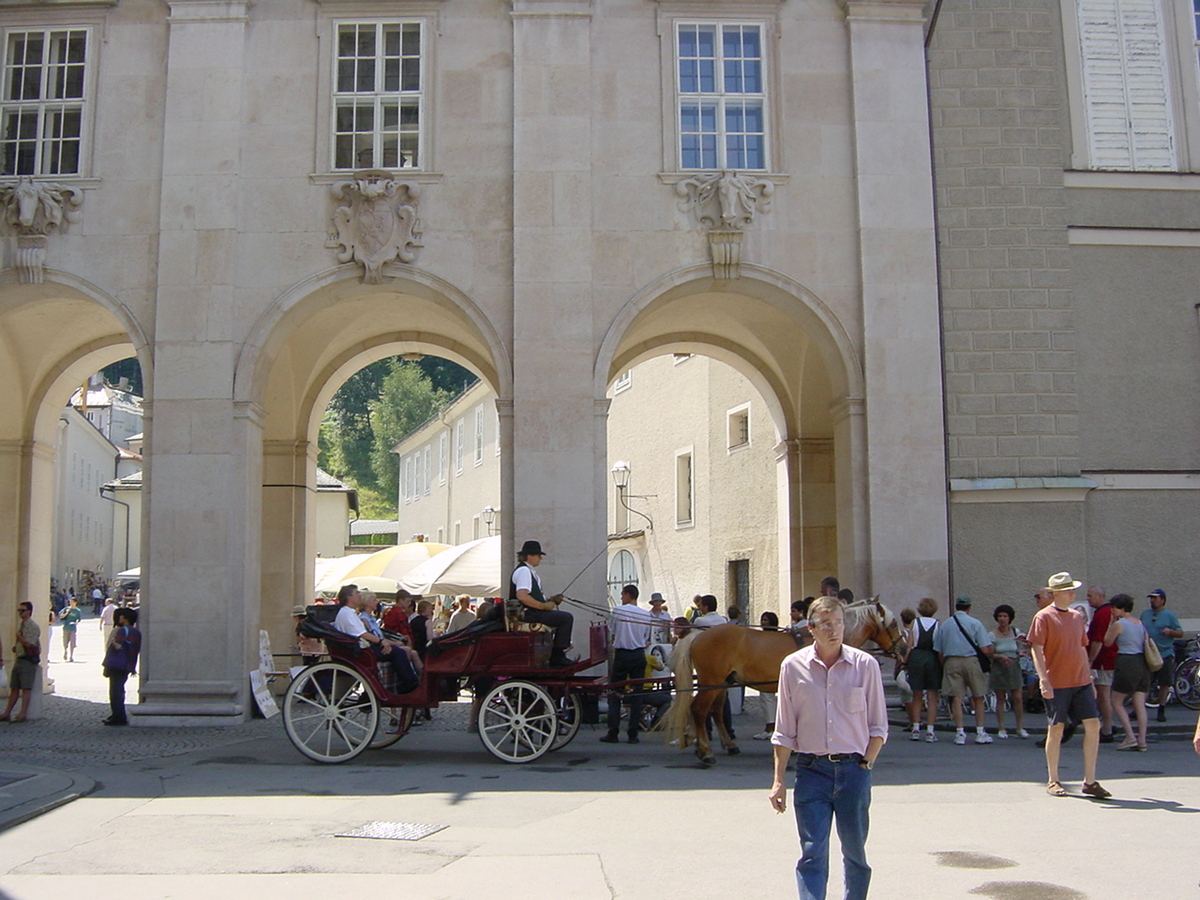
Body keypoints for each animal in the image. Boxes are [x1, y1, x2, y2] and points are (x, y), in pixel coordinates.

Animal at [667, 600, 902, 768]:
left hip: (721, 683)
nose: (903, 648)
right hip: (712, 682)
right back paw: (706, 752)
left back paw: (724, 745)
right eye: (892, 624)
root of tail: (699, 635)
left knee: (715, 711)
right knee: (699, 709)